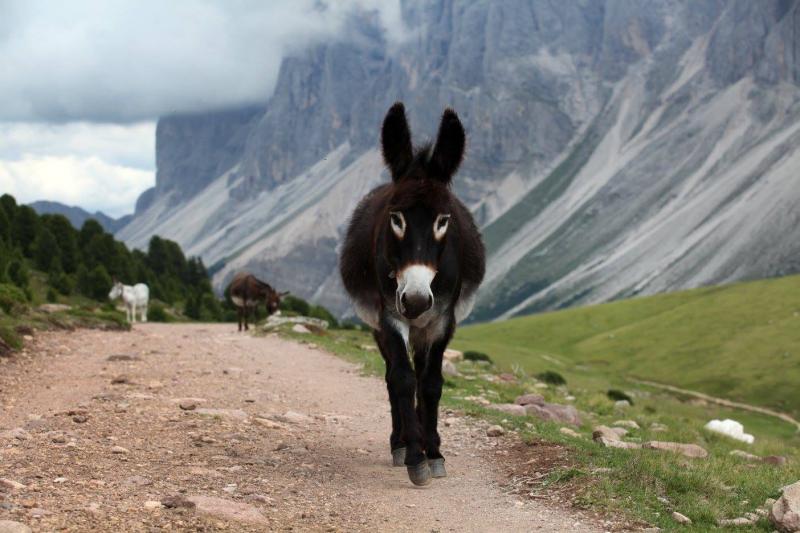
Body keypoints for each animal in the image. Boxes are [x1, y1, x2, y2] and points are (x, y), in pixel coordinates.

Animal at [339, 103, 485, 486]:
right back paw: (401, 443)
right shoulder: (389, 316)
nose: (416, 301)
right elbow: (402, 381)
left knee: (421, 376)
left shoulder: (443, 320)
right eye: (396, 218)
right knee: (394, 377)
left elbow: (431, 384)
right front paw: (416, 458)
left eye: (443, 220)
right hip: (380, 325)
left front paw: (434, 453)